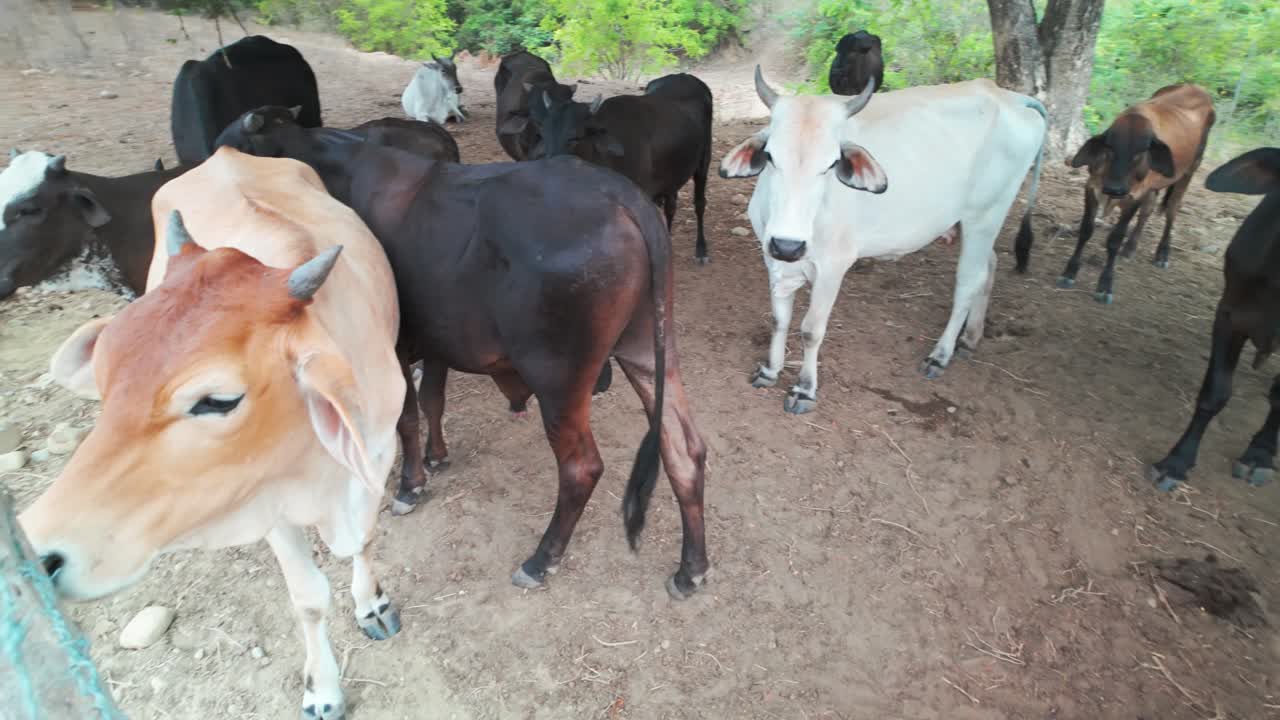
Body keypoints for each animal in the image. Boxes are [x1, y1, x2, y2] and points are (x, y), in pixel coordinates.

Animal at [20, 146, 406, 720]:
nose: (38, 554)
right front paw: (322, 689)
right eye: (107, 373)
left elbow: (361, 541)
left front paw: (371, 604)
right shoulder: (267, 504)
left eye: (218, 401)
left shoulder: (372, 464)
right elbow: (309, 597)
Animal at [214, 106, 710, 600]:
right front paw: (437, 457)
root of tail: (623, 197)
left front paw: (410, 485)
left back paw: (540, 559)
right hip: (646, 351)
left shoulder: (393, 346)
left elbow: (406, 418)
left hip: (558, 378)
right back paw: (691, 568)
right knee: (684, 448)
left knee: (581, 467)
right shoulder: (436, 339)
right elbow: (433, 399)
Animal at [527, 73, 714, 263]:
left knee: (699, 203)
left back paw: (701, 249)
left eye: (575, 137)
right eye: (544, 134)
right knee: (671, 205)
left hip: (704, 160)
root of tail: (684, 75)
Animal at [719, 67, 1046, 413]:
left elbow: (811, 330)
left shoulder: (833, 266)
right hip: (974, 223)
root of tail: (1010, 96)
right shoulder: (772, 257)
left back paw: (940, 355)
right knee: (989, 267)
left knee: (969, 281)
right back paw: (970, 338)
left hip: (984, 215)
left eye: (832, 164)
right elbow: (779, 319)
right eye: (770, 156)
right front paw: (770, 371)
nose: (788, 245)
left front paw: (804, 389)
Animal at [1057, 84, 1216, 303]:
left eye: (1140, 153)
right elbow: (1086, 230)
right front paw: (1069, 272)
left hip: (1189, 170)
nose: (1114, 189)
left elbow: (1114, 239)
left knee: (1172, 210)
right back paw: (1130, 248)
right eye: (1110, 148)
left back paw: (1162, 254)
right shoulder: (1092, 188)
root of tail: (1195, 87)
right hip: (1154, 187)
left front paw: (1105, 286)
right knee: (1147, 211)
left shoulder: (1133, 197)